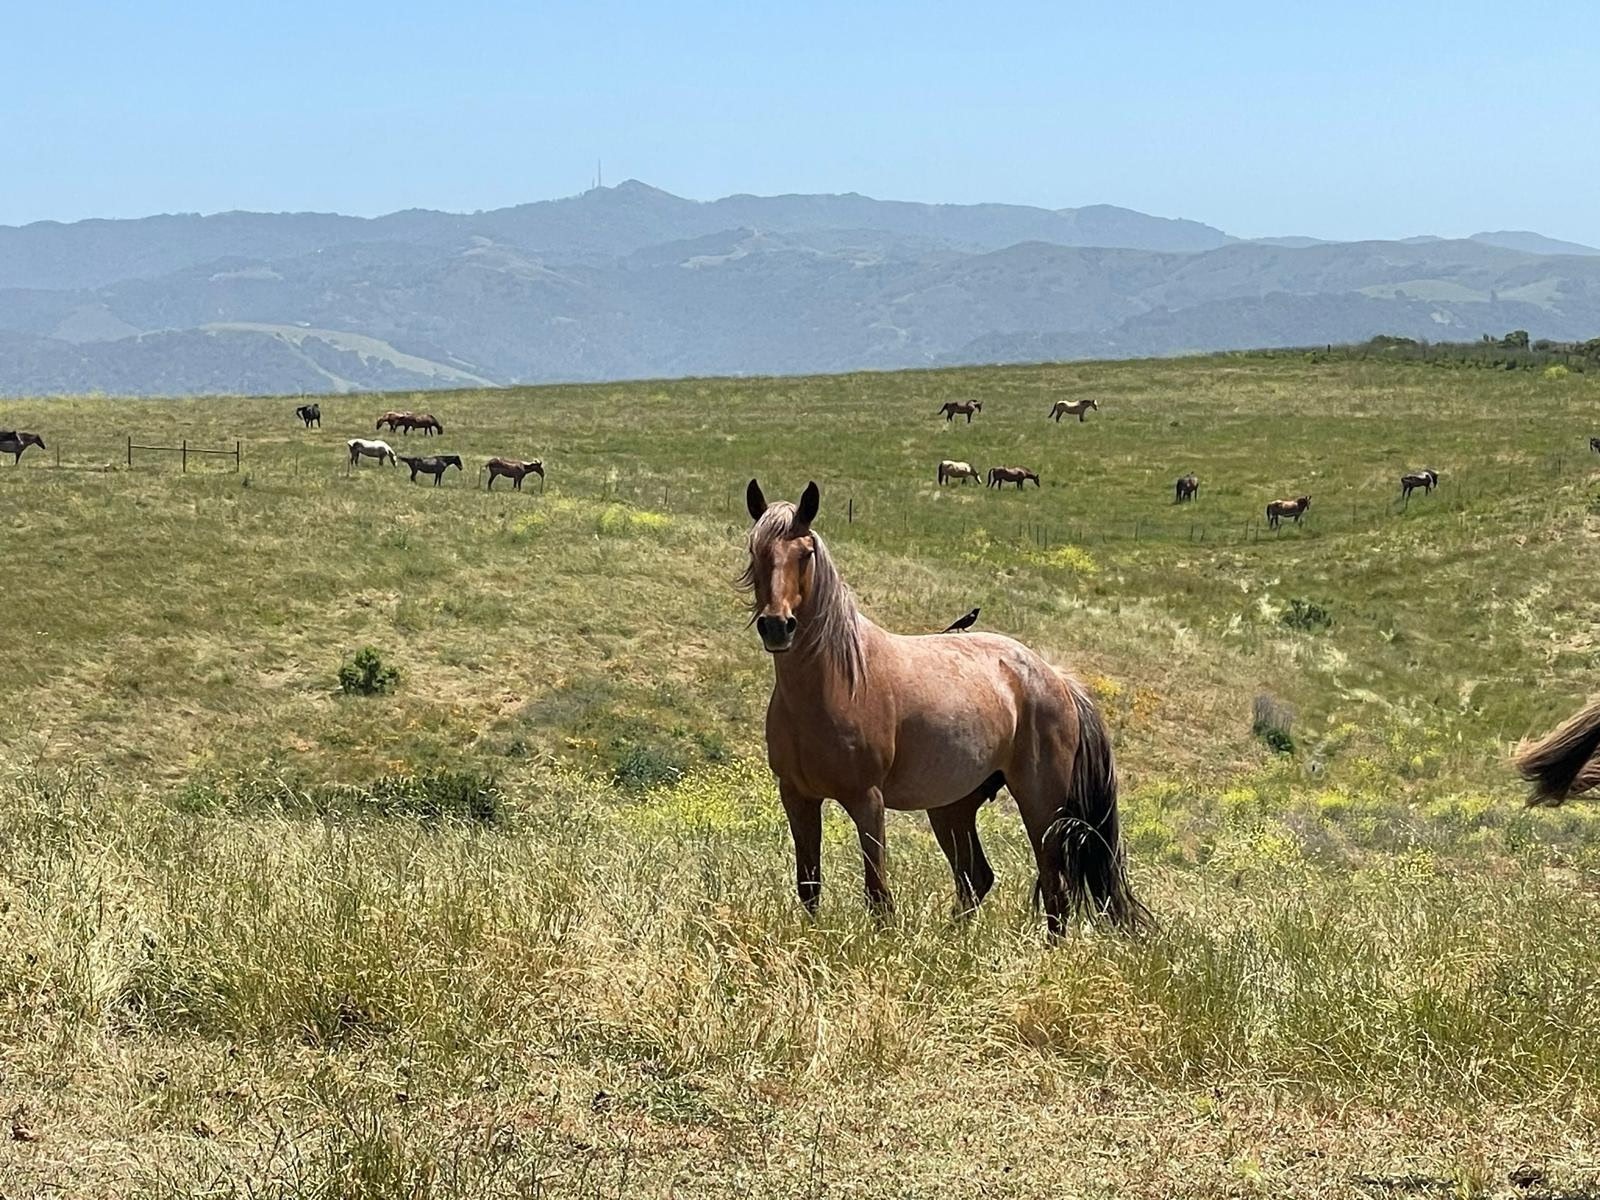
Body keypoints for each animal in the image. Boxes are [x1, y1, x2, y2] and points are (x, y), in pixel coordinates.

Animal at [742, 473, 1145, 934]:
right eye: (755, 550)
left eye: (805, 554)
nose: (777, 626)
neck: (833, 684)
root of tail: (1055, 677)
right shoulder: (797, 797)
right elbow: (809, 886)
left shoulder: (867, 800)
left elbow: (877, 892)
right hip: (953, 806)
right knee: (976, 878)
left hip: (1040, 804)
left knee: (1053, 889)